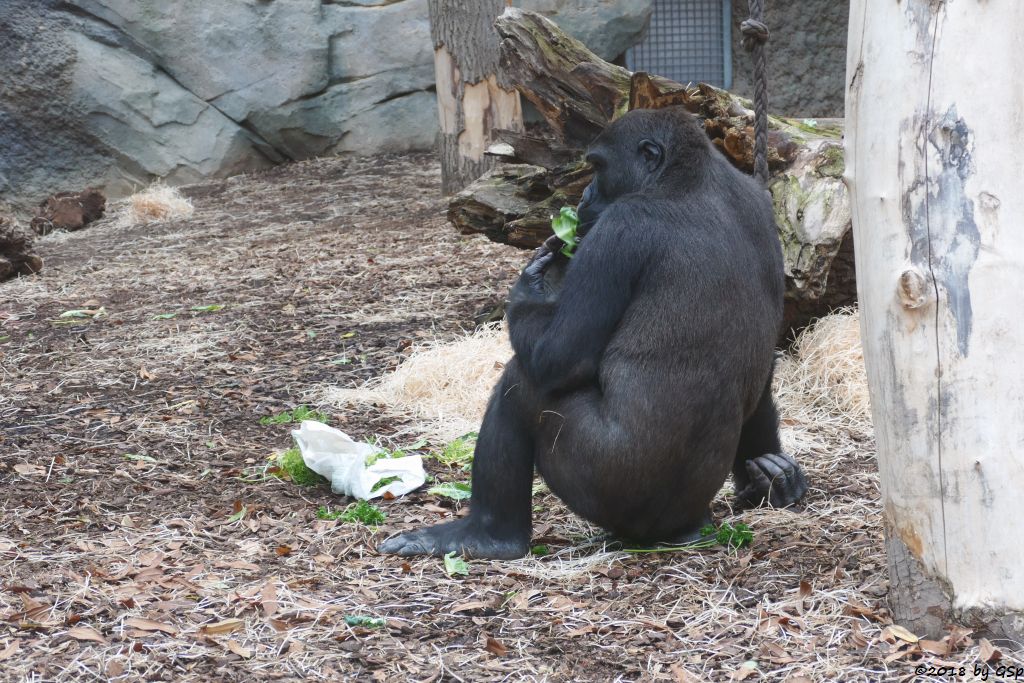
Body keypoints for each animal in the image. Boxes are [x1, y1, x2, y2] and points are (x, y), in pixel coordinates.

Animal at [380, 104, 802, 557]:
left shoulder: (619, 228)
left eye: (598, 167)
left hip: (613, 491)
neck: (688, 176)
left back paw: (490, 534)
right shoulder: (762, 206)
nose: (583, 198)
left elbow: (558, 358)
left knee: (523, 384)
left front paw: (532, 284)